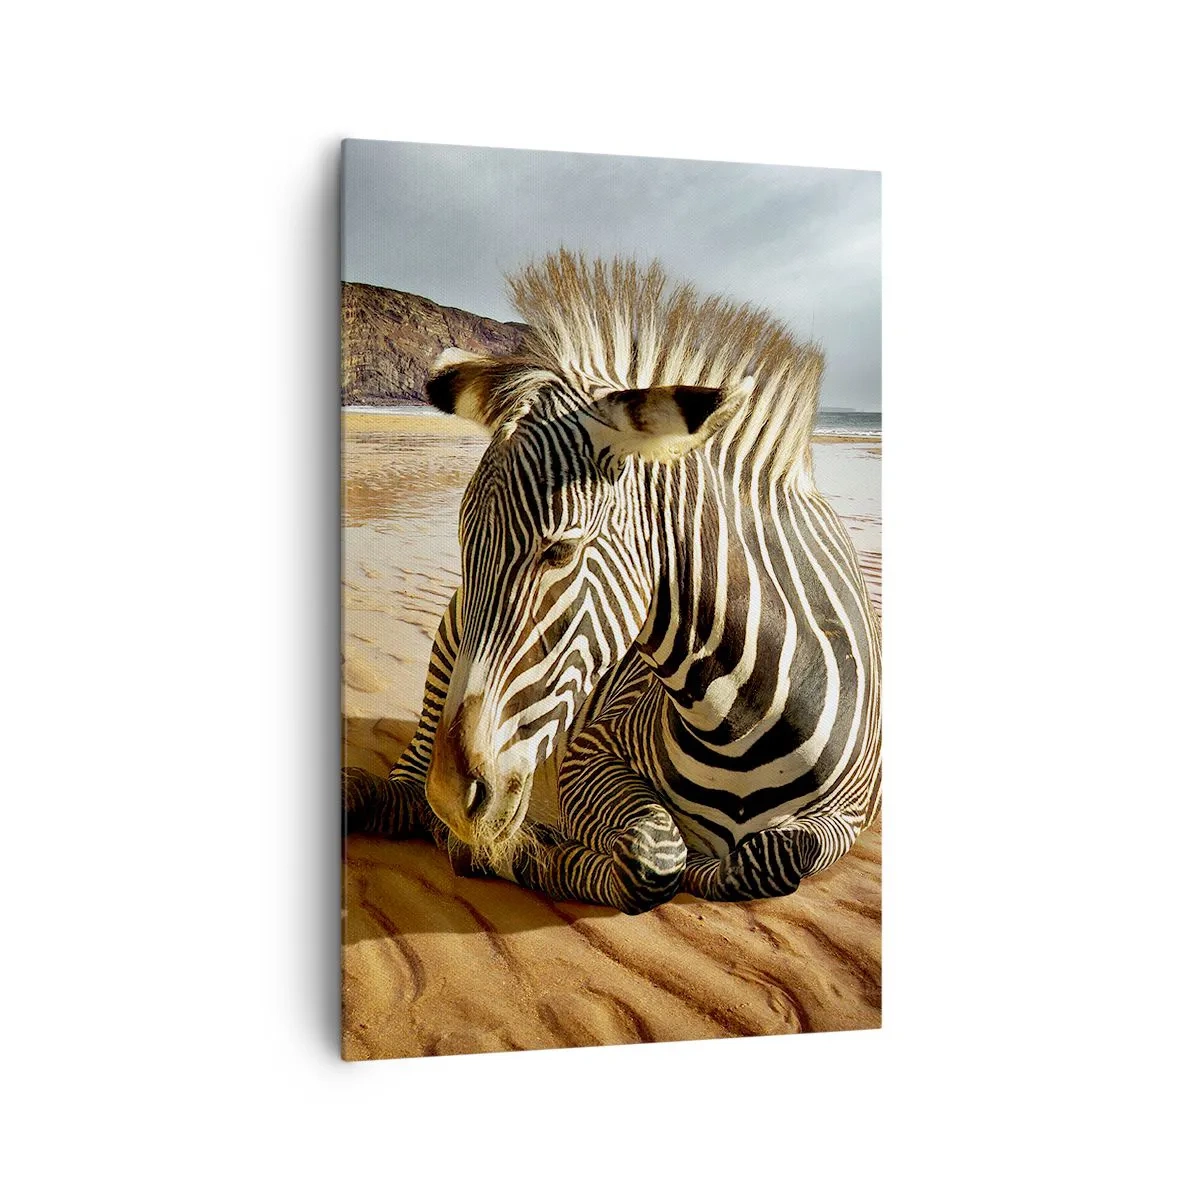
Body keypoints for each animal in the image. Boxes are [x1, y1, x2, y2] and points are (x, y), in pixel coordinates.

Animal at [344, 251, 881, 913]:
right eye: (464, 539)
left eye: (561, 551)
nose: (452, 798)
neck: (744, 717)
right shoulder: (591, 751)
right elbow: (656, 855)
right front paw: (520, 851)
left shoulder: (852, 814)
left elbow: (771, 857)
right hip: (447, 652)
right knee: (407, 787)